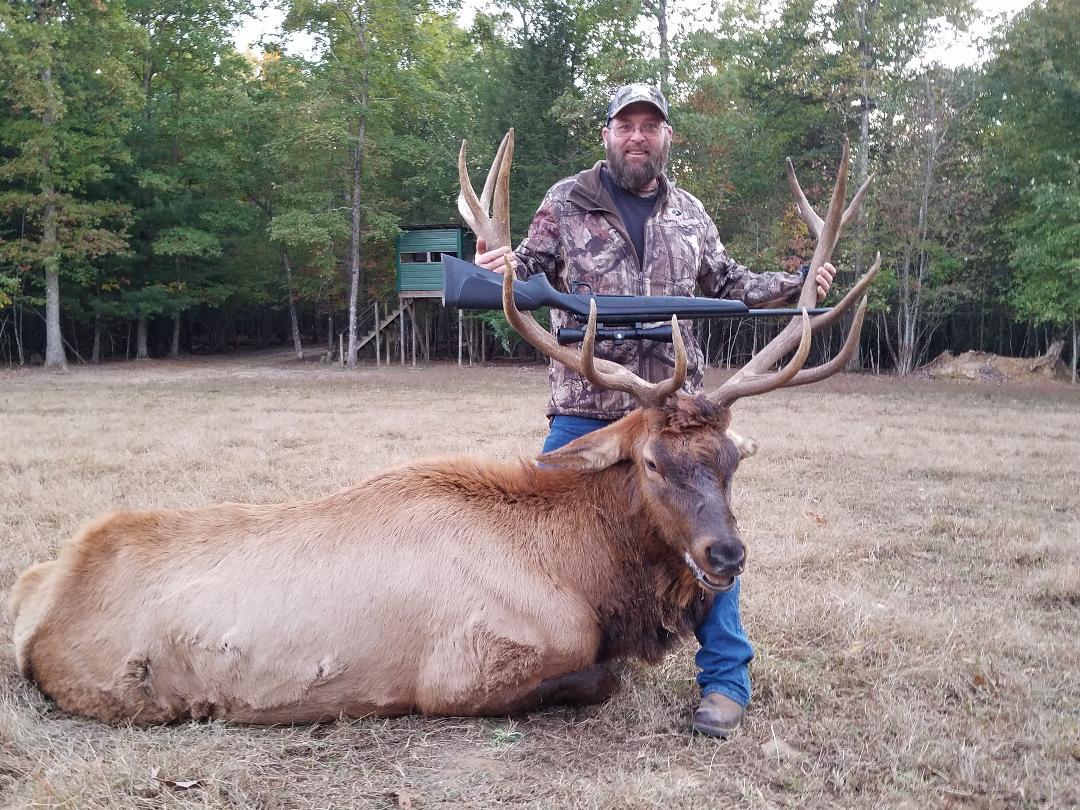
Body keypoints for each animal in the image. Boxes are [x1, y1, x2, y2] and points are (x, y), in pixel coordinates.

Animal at [9, 134, 877, 727]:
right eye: (654, 462)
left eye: (731, 460)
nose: (726, 554)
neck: (581, 577)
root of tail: (36, 597)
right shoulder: (461, 674)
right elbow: (607, 678)